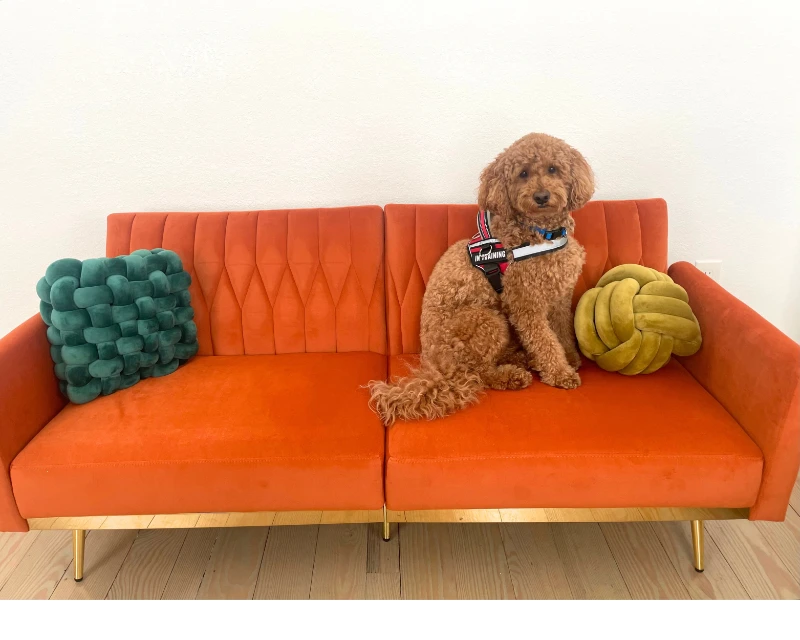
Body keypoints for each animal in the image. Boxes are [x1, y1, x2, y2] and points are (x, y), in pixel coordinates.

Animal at [368, 132, 592, 424]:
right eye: (523, 174)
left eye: (553, 169)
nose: (541, 196)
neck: (542, 234)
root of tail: (437, 365)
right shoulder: (525, 304)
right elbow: (544, 341)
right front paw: (560, 372)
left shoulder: (560, 298)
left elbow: (562, 331)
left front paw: (571, 358)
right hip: (486, 321)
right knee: (479, 372)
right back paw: (512, 375)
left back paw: (521, 358)